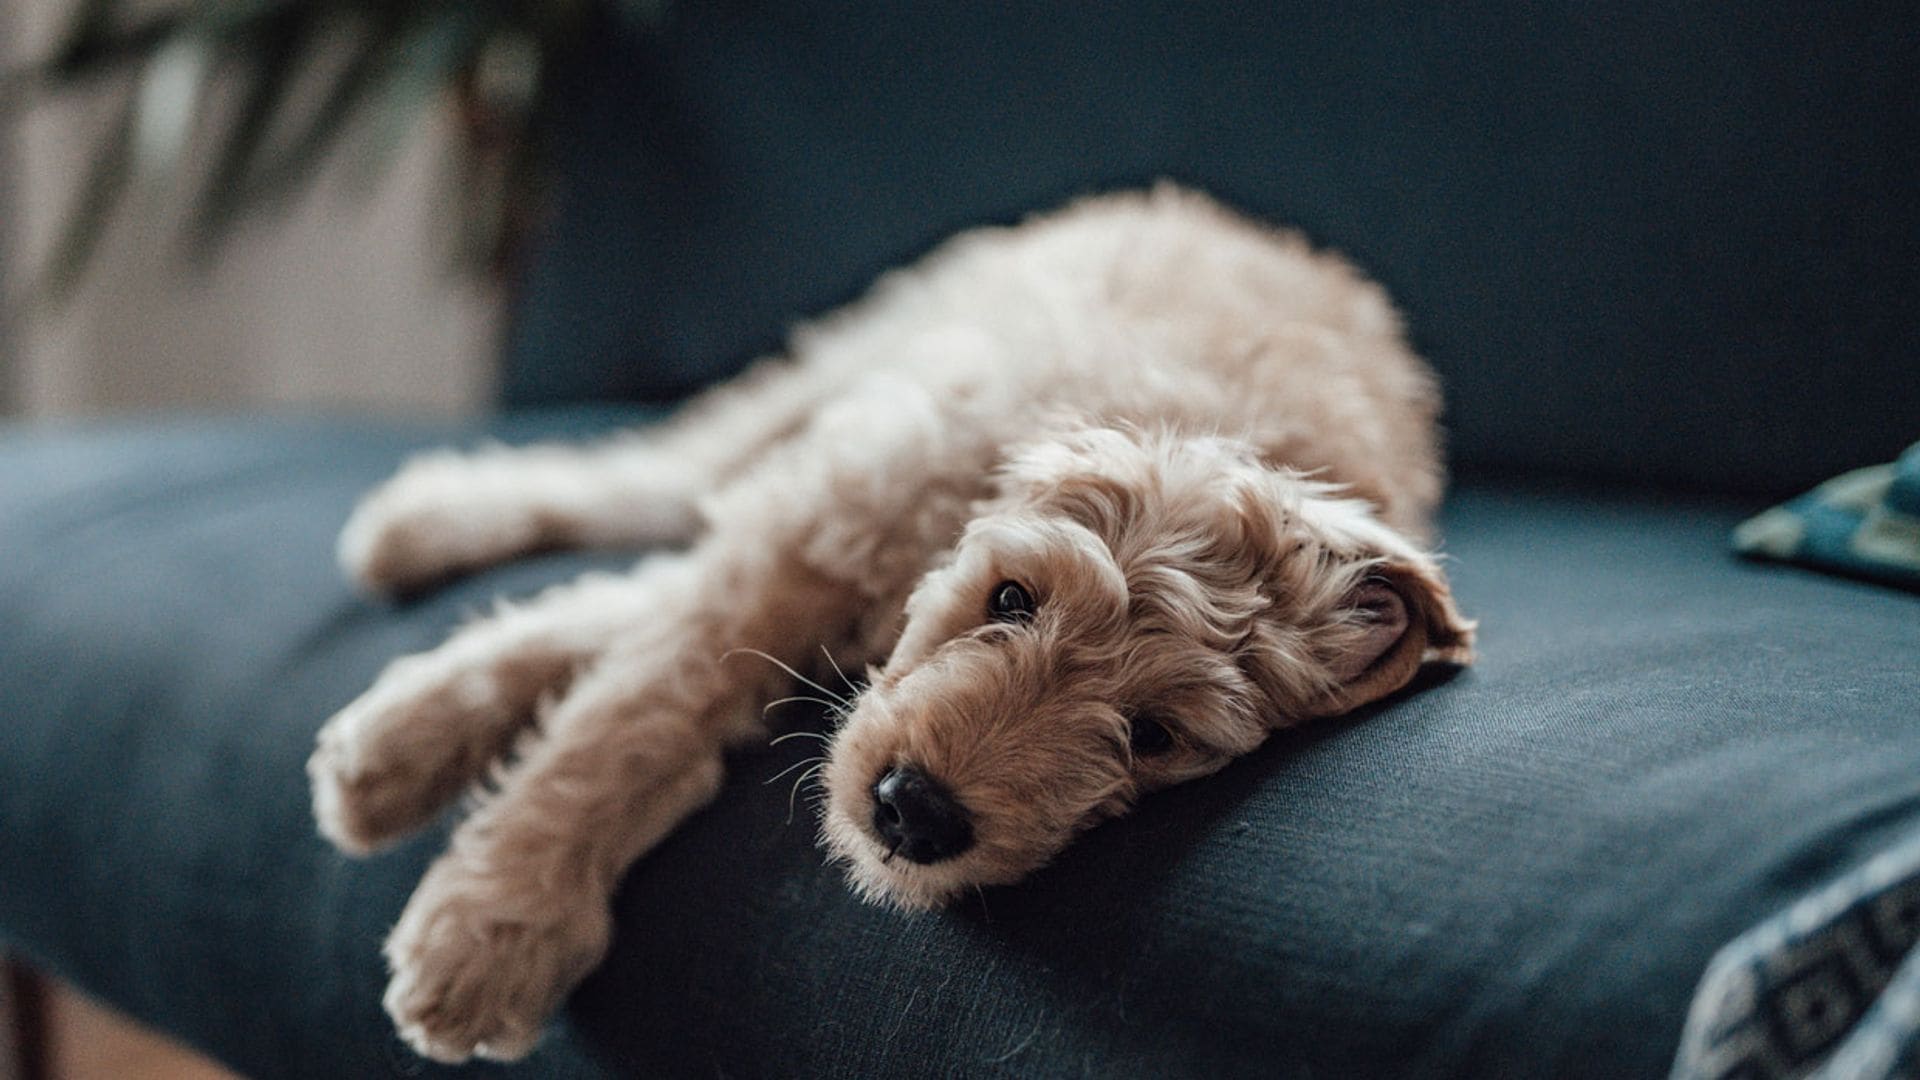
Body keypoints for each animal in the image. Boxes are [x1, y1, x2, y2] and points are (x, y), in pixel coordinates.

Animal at [307, 184, 1474, 1060]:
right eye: (1012, 598)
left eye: (1154, 736)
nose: (914, 813)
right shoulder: (830, 515)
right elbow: (635, 711)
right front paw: (496, 925)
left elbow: (639, 630)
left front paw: (410, 754)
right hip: (861, 357)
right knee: (666, 474)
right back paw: (426, 522)